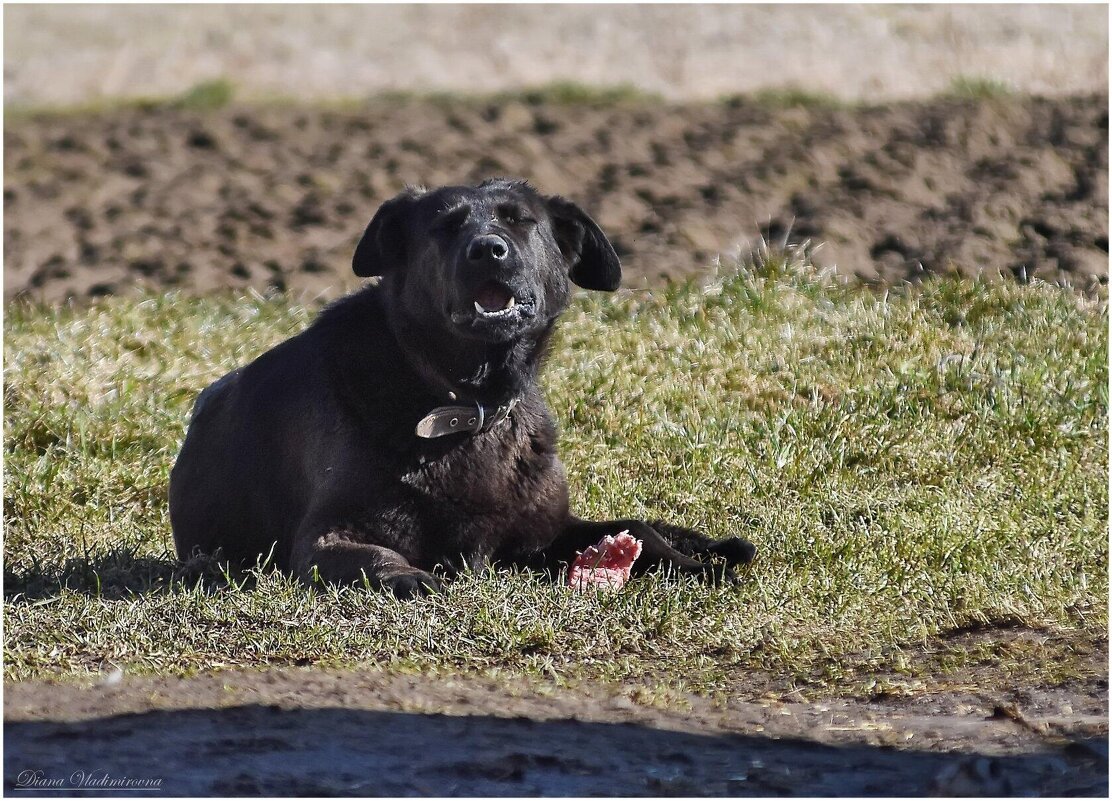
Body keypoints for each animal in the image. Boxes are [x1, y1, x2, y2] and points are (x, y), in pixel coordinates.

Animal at [169, 180, 760, 596]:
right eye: (445, 227)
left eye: (520, 222)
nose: (488, 249)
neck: (467, 405)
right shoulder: (325, 538)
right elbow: (375, 559)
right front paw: (409, 577)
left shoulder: (545, 533)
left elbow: (647, 538)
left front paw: (694, 565)